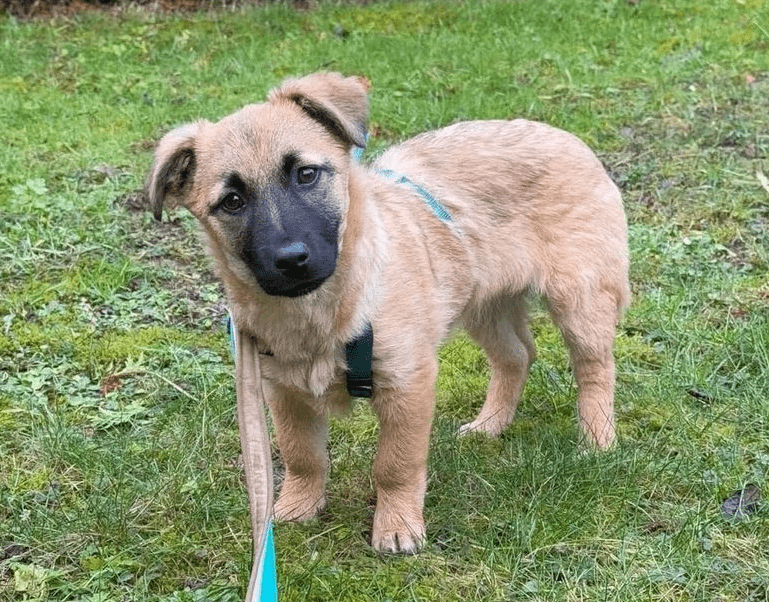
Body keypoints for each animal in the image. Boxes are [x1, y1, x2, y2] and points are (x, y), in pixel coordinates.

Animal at [147, 74, 628, 552]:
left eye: (306, 174)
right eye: (231, 201)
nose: (291, 260)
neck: (327, 310)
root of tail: (564, 136)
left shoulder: (407, 382)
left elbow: (395, 464)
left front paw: (397, 526)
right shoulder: (283, 392)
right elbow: (303, 456)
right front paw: (297, 507)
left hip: (579, 296)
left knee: (595, 368)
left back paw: (598, 440)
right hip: (483, 302)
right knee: (517, 356)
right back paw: (490, 425)